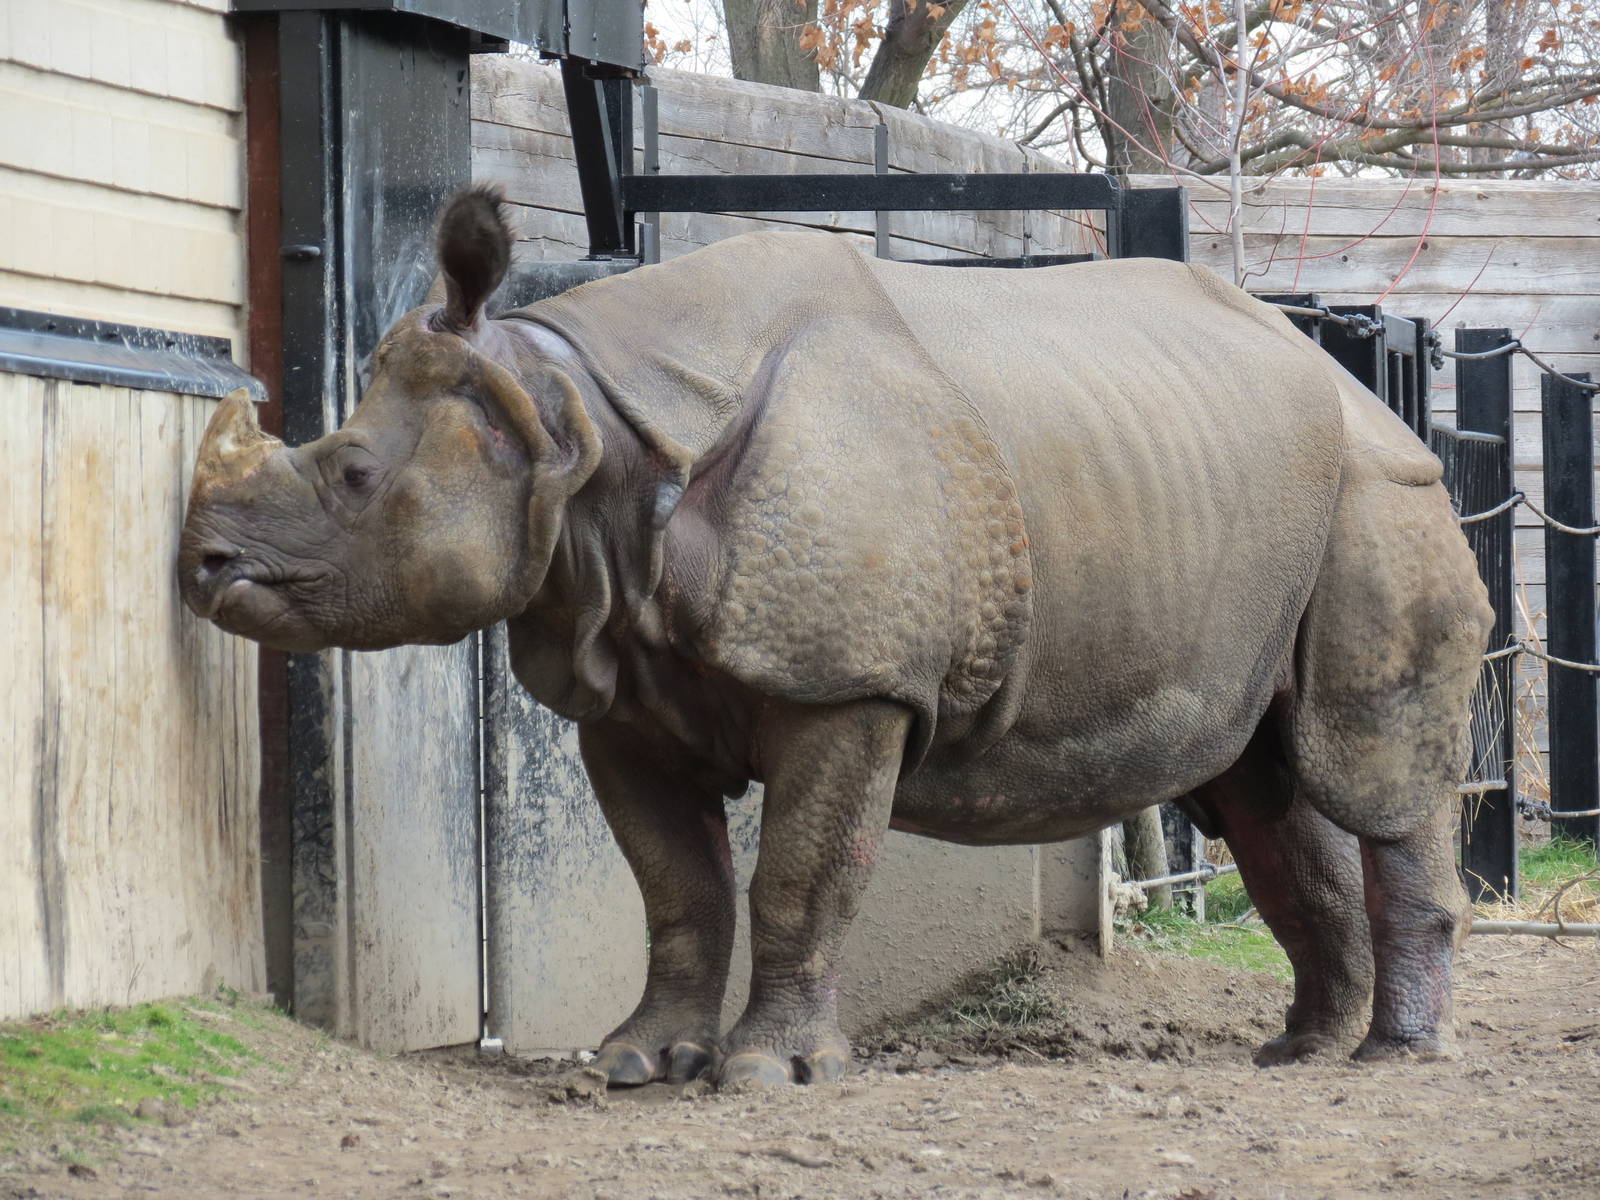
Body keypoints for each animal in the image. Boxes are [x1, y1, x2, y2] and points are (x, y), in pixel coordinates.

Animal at [180, 188, 1488, 1088]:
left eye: (352, 475)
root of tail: (1360, 387)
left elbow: (801, 876)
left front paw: (770, 1075)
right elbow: (677, 886)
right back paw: (1300, 1054)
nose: (201, 568)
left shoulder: (852, 688)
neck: (575, 423)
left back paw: (1394, 1060)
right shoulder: (622, 693)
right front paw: (638, 1064)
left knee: (1369, 768)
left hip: (1383, 499)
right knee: (1263, 785)